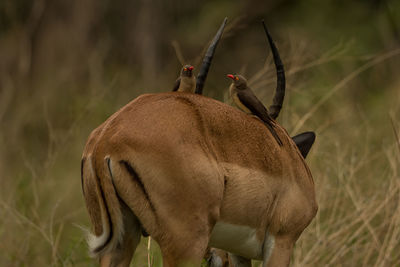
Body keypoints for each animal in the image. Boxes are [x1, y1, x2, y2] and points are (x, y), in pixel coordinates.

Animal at [82, 19, 318, 267]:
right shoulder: (282, 240)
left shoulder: (238, 252)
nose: (214, 258)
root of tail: (105, 140)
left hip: (120, 240)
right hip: (186, 242)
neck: (290, 160)